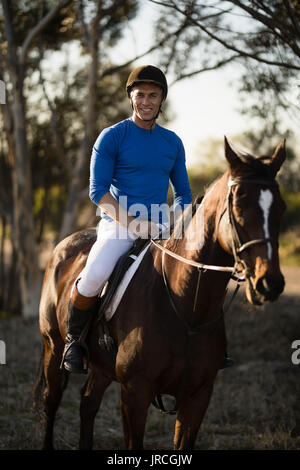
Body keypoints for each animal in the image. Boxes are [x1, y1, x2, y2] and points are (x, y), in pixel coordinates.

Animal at [32, 136, 286, 448]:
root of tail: (62, 246)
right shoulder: (135, 392)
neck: (187, 308)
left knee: (88, 403)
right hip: (53, 347)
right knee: (51, 401)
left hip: (102, 367)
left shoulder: (198, 396)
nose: (269, 283)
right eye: (239, 206)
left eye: (281, 208)